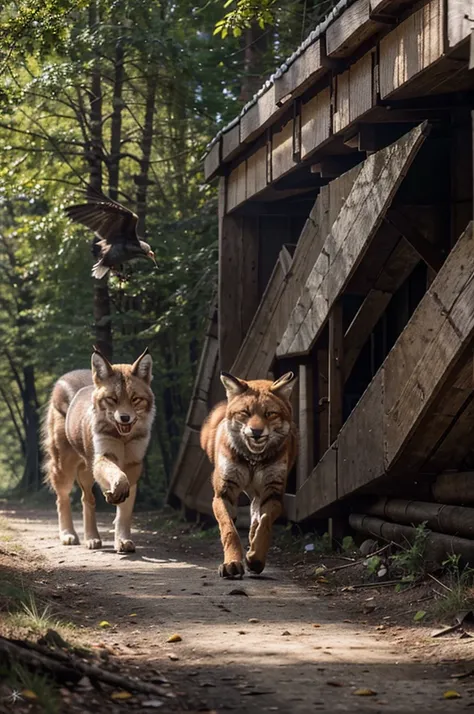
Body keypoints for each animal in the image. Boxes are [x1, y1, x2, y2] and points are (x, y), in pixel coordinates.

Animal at [41, 344, 155, 552]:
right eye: (112, 399)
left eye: (135, 399)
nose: (125, 418)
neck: (123, 438)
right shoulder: (104, 456)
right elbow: (118, 477)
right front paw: (115, 491)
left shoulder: (134, 463)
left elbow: (125, 509)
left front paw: (122, 540)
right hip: (65, 466)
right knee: (62, 497)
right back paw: (69, 535)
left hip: (85, 469)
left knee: (86, 498)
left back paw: (92, 537)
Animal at [200, 370, 296, 576]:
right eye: (245, 412)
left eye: (270, 414)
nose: (256, 432)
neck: (253, 461)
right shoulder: (223, 493)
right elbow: (230, 530)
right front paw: (232, 563)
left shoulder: (273, 492)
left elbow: (264, 524)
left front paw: (256, 558)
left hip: (258, 495)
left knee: (255, 519)